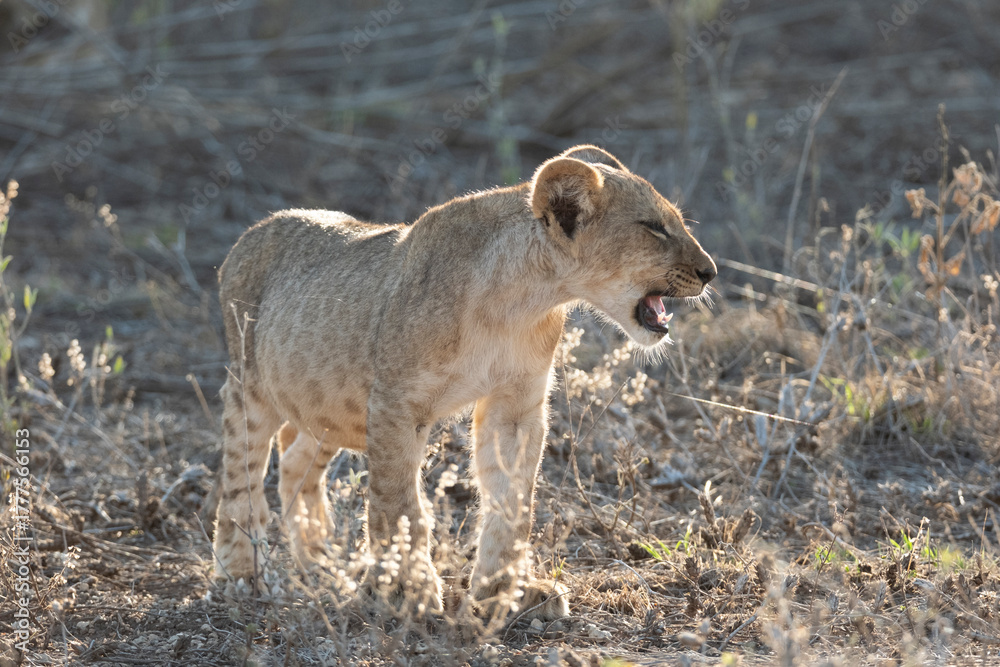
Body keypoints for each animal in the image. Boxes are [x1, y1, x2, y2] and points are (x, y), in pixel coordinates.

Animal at [212, 145, 716, 621]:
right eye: (653, 227)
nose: (710, 271)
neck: (522, 299)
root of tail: (246, 237)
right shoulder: (396, 403)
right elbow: (399, 505)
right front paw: (403, 590)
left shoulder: (515, 405)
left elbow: (512, 502)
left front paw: (506, 591)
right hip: (250, 388)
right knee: (242, 475)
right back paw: (243, 572)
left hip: (329, 407)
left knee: (295, 458)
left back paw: (320, 560)